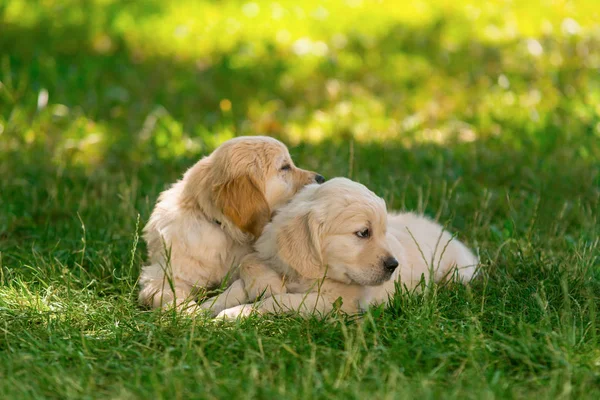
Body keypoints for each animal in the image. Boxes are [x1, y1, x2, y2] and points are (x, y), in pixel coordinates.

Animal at [138, 136, 324, 310]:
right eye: (285, 167)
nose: (321, 178)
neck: (222, 228)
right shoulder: (163, 274)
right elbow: (173, 295)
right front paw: (191, 315)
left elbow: (249, 259)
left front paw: (267, 284)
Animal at [206, 178, 478, 318]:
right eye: (364, 233)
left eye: (383, 232)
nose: (393, 266)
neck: (308, 274)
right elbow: (235, 289)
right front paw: (205, 310)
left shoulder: (335, 302)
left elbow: (278, 301)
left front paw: (236, 314)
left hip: (457, 272)